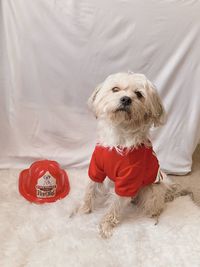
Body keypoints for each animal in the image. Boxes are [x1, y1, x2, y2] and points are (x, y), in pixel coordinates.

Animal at [73, 73, 180, 239]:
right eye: (115, 89)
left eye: (139, 94)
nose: (125, 99)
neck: (119, 135)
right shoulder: (96, 168)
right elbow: (90, 189)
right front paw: (84, 209)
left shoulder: (128, 181)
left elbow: (115, 205)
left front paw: (106, 225)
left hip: (151, 192)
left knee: (156, 205)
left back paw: (154, 214)